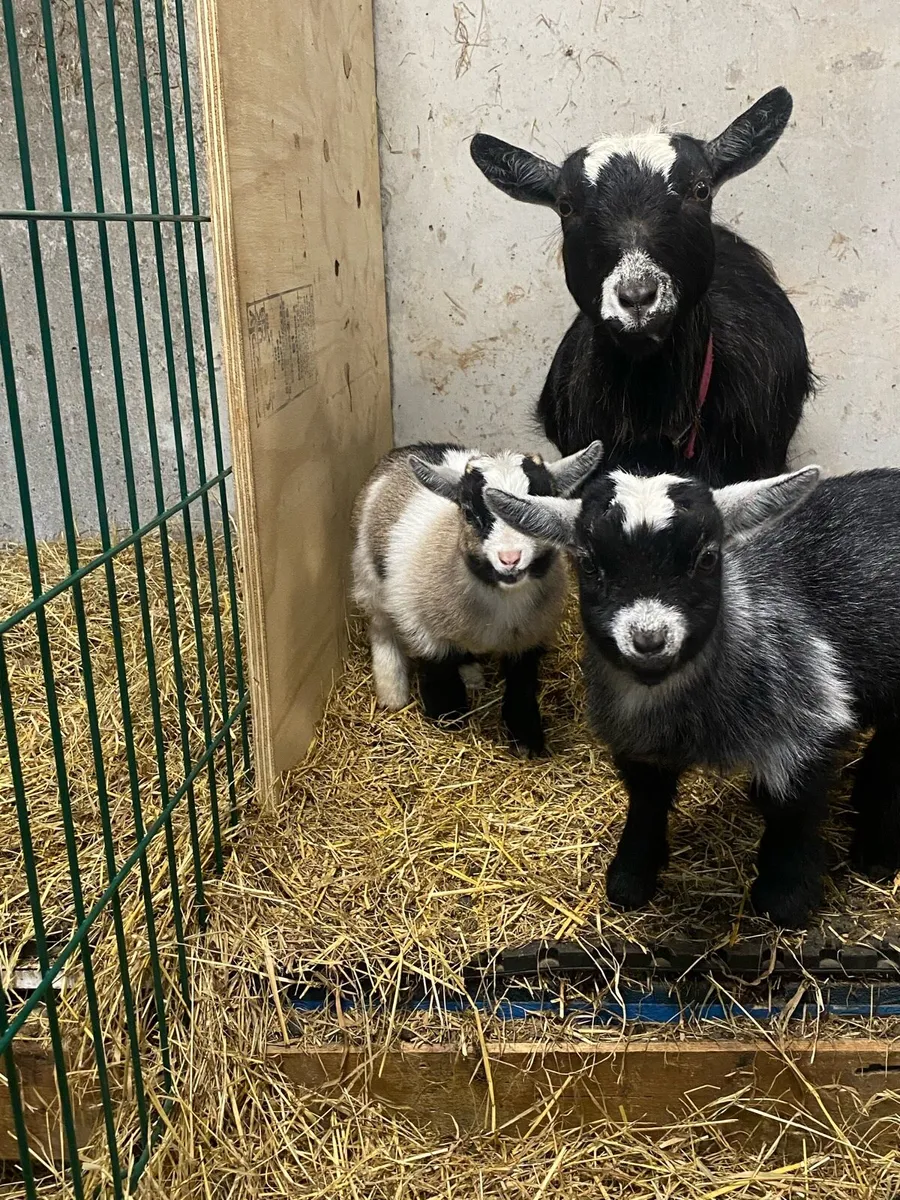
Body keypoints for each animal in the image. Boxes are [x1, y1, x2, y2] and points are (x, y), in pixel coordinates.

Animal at [351, 440, 603, 755]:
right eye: (470, 511)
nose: (510, 559)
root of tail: (409, 449)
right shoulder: (422, 627)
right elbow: (439, 671)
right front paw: (447, 717)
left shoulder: (530, 636)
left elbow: (521, 683)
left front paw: (526, 737)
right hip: (370, 578)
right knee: (381, 627)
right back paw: (392, 690)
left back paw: (471, 674)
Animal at [485, 459, 900, 928]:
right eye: (589, 565)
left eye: (707, 558)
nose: (648, 640)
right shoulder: (638, 741)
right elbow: (646, 800)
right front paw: (631, 877)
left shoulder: (809, 711)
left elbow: (794, 809)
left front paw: (786, 896)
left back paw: (877, 849)